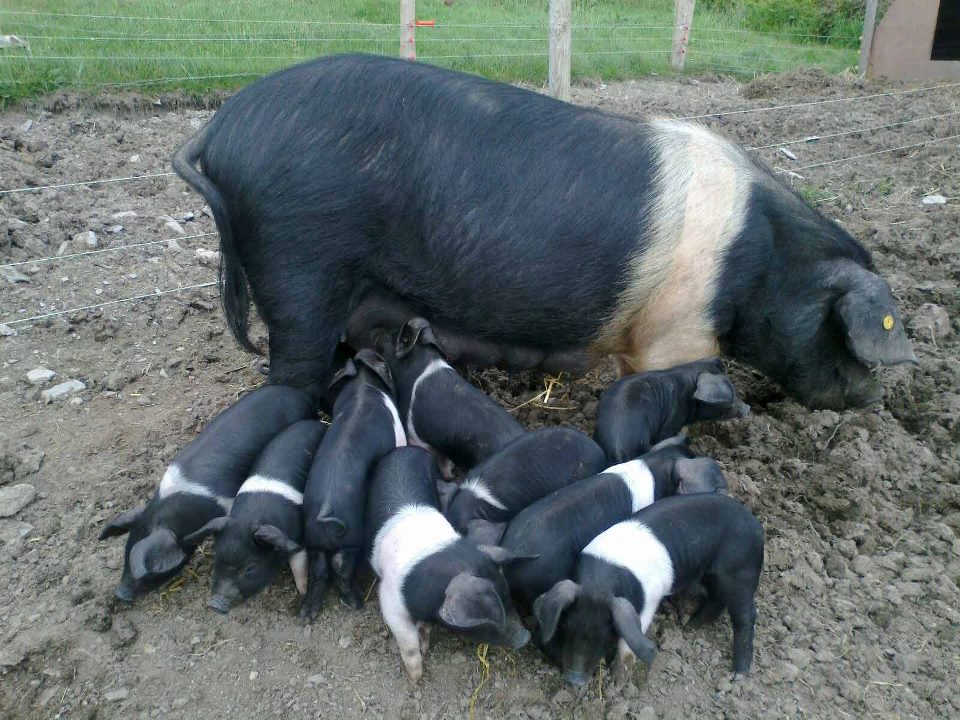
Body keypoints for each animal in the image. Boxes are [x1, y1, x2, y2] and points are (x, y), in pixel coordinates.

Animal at [173, 53, 915, 412]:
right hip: (299, 265)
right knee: (289, 374)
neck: (760, 262)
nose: (876, 400)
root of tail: (220, 127)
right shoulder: (676, 334)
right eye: (843, 331)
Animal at [182, 419, 327, 613]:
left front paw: (302, 592)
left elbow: (298, 561)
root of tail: (318, 423)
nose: (215, 605)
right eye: (217, 561)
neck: (252, 517)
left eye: (249, 569)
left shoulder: (299, 536)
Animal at [300, 349, 405, 619]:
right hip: (352, 536)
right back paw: (356, 603)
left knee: (318, 568)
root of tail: (325, 509)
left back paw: (307, 614)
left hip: (313, 537)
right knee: (340, 566)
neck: (362, 385)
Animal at [367, 446, 533, 683]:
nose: (525, 636)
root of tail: (404, 449)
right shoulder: (390, 600)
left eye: (507, 594)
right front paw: (416, 678)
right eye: (490, 615)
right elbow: (407, 640)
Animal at [534, 494, 764, 685]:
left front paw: (617, 684)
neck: (599, 583)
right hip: (713, 574)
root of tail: (757, 526)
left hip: (741, 572)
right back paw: (689, 627)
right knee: (717, 599)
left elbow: (630, 641)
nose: (574, 680)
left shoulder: (646, 605)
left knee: (746, 615)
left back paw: (738, 675)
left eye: (605, 636)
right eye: (566, 627)